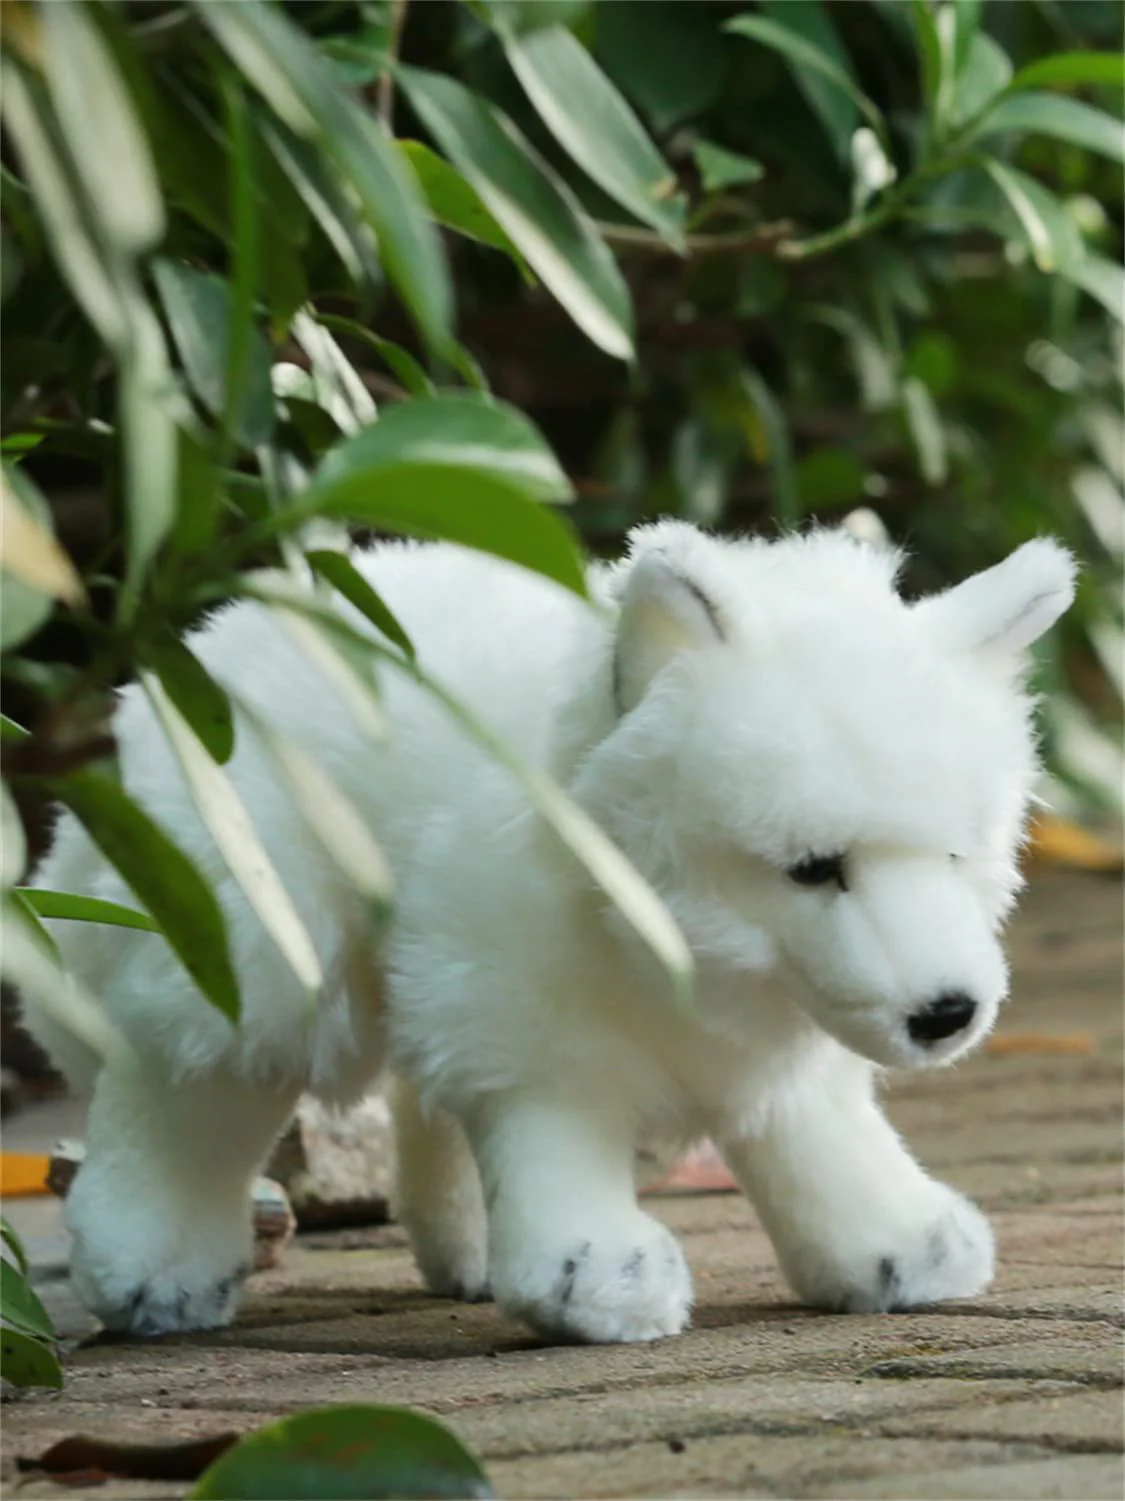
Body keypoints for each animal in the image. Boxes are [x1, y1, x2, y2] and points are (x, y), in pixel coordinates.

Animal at [23, 520, 1075, 1342]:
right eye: (813, 868)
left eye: (953, 856)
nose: (948, 1012)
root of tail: (205, 647)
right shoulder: (532, 1034)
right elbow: (557, 1136)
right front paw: (596, 1279)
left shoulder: (769, 1047)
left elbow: (817, 1135)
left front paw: (901, 1247)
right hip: (252, 932)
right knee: (186, 1091)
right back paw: (154, 1275)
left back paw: (465, 1253)